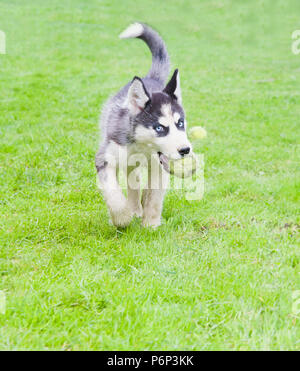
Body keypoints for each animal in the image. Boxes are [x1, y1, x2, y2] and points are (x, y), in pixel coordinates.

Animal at [96, 23, 192, 228]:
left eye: (180, 123)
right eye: (159, 128)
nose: (185, 150)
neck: (141, 146)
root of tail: (151, 79)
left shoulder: (159, 166)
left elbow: (154, 198)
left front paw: (151, 225)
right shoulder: (105, 158)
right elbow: (112, 191)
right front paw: (122, 217)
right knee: (133, 182)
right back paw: (133, 209)